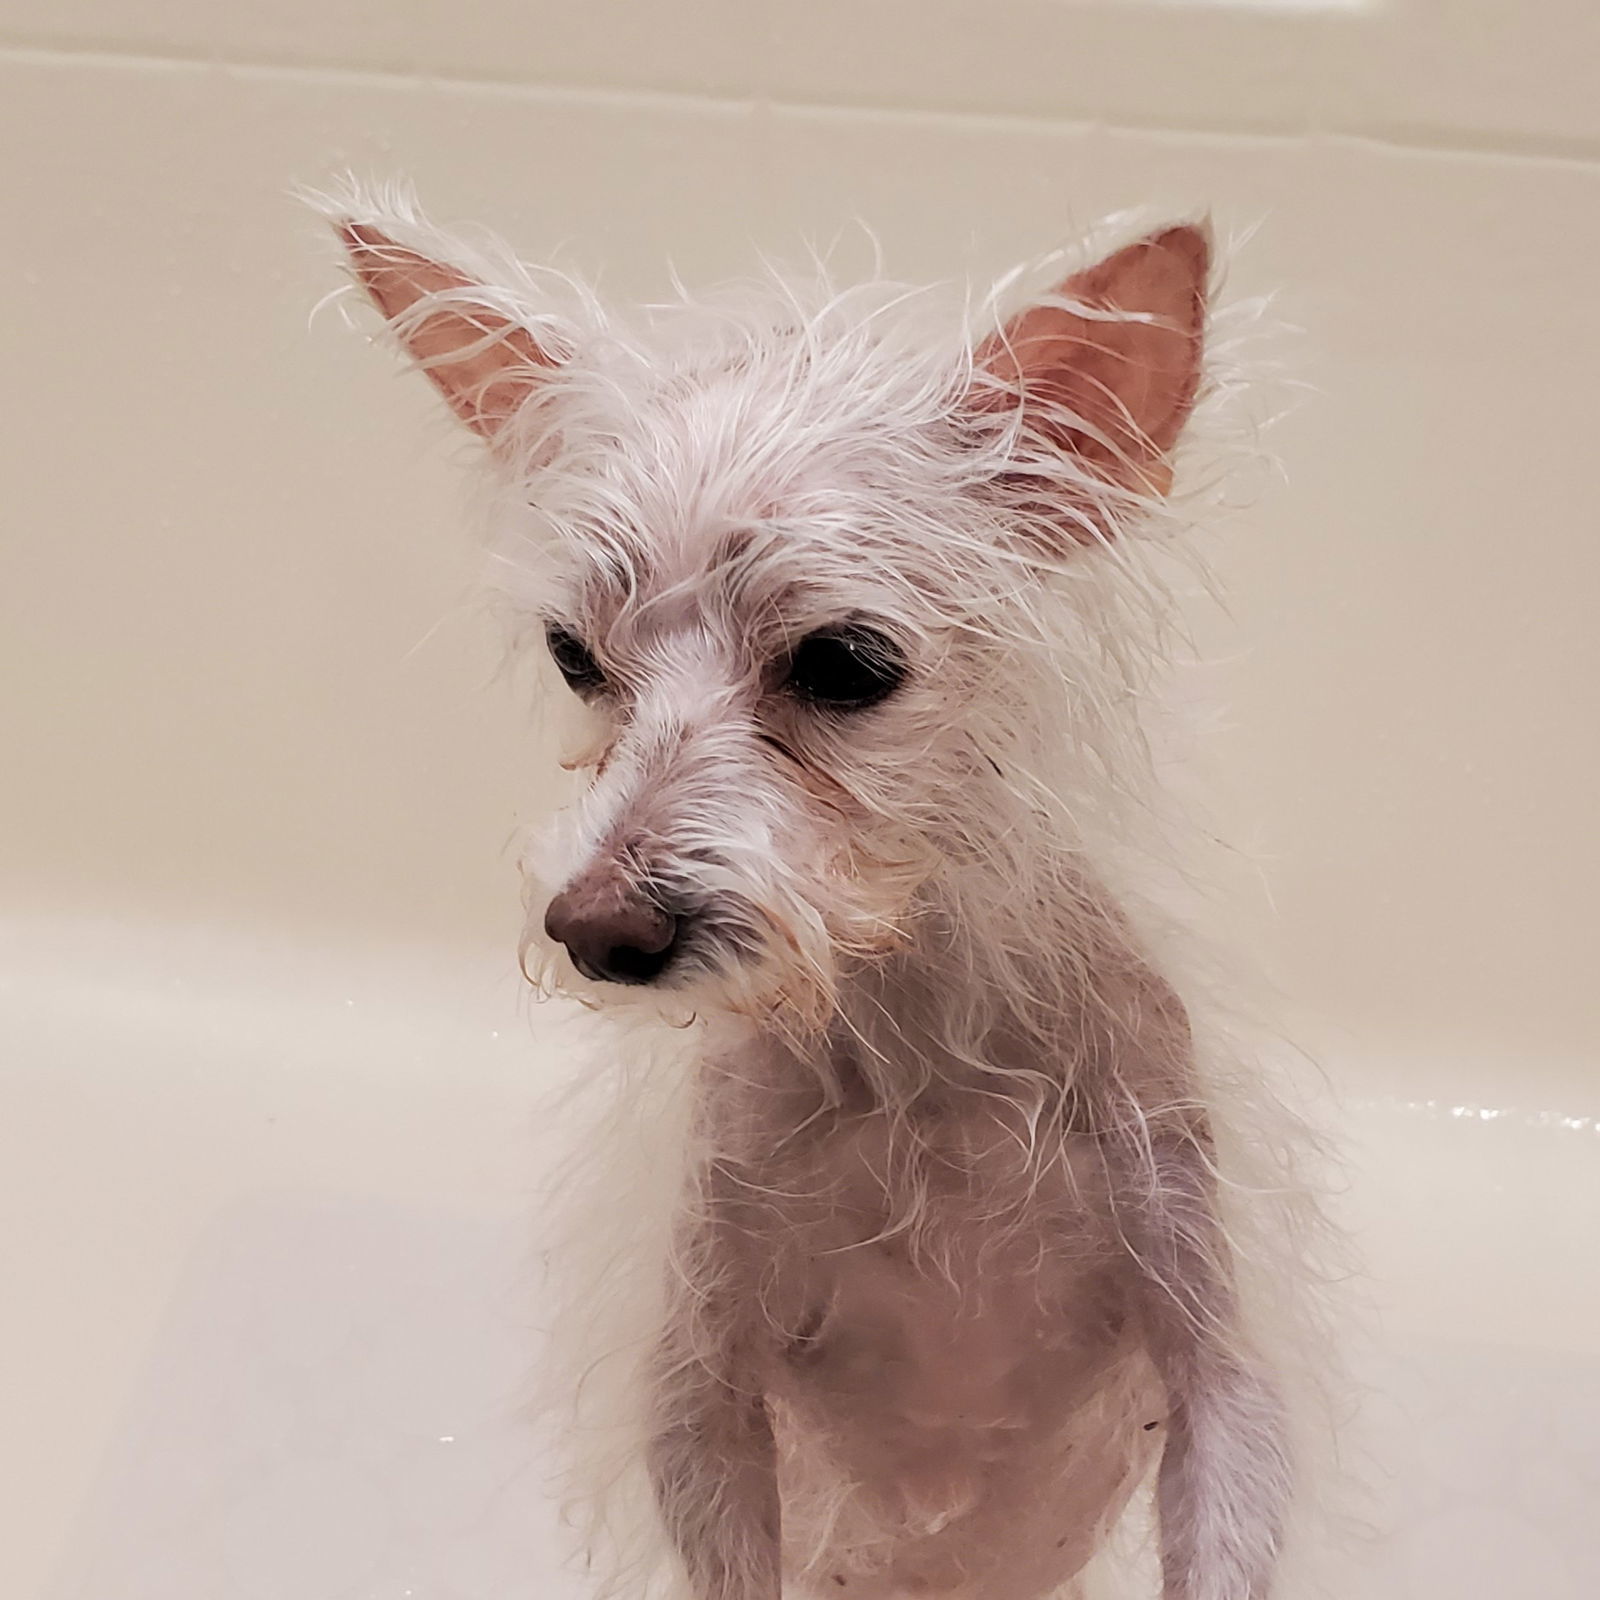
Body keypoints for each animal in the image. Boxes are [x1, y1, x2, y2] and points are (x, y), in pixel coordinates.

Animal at [321, 190, 1299, 1600]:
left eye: (844, 663)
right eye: (573, 657)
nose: (595, 931)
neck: (924, 1066)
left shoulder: (1214, 1367)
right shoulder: (702, 1396)